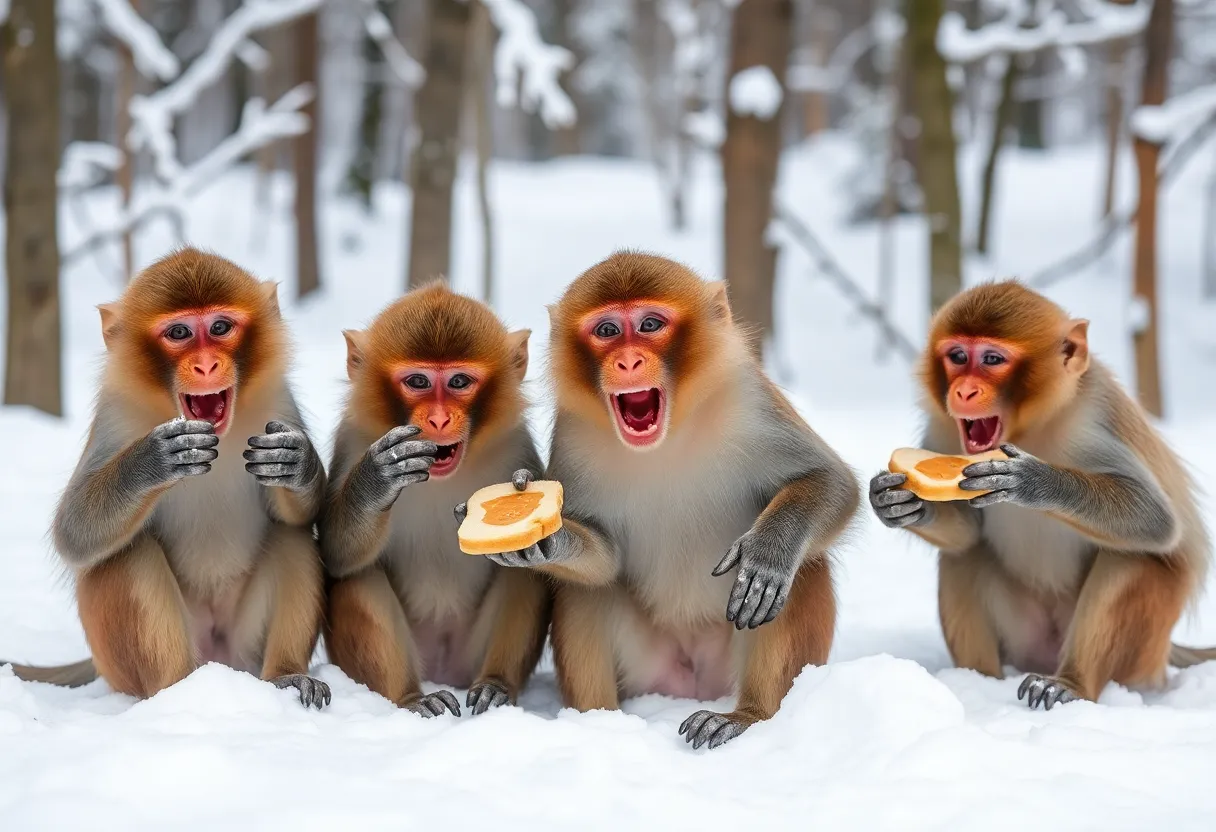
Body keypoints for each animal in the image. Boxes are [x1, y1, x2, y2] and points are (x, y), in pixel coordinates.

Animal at [5, 248, 330, 708]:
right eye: (179, 332)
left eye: (220, 327)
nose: (206, 364)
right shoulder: (116, 415)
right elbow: (74, 535)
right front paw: (151, 461)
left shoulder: (278, 403)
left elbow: (303, 515)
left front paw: (296, 464)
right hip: (126, 664)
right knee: (127, 553)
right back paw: (178, 693)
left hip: (241, 648)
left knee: (293, 537)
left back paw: (286, 675)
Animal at [320, 282, 551, 718]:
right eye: (418, 381)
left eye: (459, 381)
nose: (440, 419)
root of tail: (444, 670)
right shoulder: (354, 439)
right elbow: (336, 557)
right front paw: (376, 481)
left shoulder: (517, 446)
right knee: (361, 573)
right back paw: (414, 697)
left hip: (467, 656)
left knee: (521, 575)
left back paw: (495, 685)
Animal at [473, 251, 859, 749]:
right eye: (607, 330)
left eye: (651, 324)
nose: (628, 360)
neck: (667, 436)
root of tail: (690, 683)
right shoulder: (574, 435)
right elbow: (605, 559)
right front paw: (548, 541)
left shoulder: (750, 400)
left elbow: (830, 481)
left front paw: (769, 550)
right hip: (649, 667)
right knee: (585, 590)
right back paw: (598, 722)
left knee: (804, 566)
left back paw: (746, 715)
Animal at [869, 280, 1215, 709]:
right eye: (958, 356)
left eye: (992, 359)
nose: (963, 392)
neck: (1028, 428)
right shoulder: (942, 425)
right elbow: (967, 531)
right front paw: (901, 504)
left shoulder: (1093, 420)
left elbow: (1157, 520)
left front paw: (1034, 481)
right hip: (1024, 639)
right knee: (965, 555)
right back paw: (977, 681)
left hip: (1142, 651)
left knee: (1132, 560)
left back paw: (1069, 683)